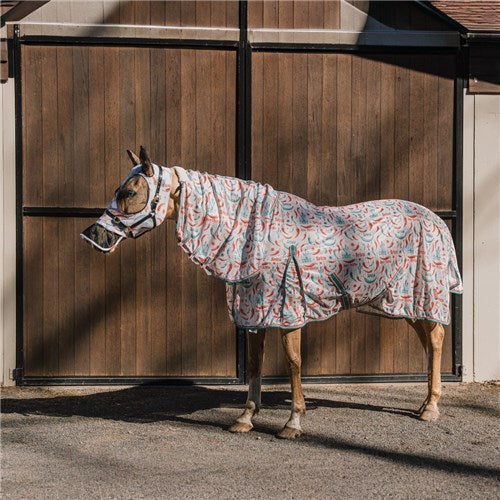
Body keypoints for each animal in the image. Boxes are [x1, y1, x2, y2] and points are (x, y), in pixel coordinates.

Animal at [81, 146, 463, 439]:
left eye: (130, 192)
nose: (93, 236)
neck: (254, 235)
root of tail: (434, 219)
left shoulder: (287, 310)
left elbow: (293, 363)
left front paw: (293, 423)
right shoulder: (253, 311)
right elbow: (254, 363)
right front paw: (245, 418)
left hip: (418, 296)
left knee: (436, 339)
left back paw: (430, 408)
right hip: (401, 303)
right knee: (429, 343)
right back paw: (425, 402)